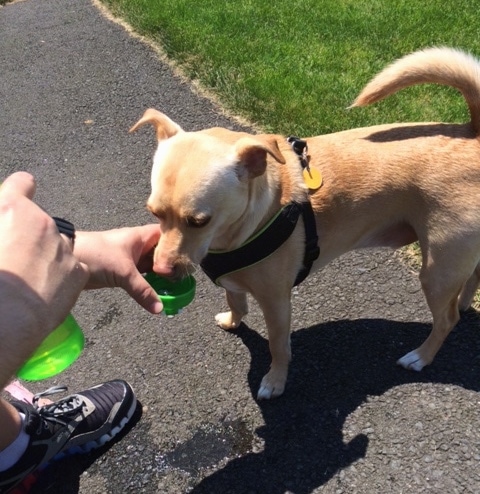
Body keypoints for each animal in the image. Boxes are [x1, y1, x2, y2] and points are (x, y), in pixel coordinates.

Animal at [131, 48, 480, 400]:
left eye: (199, 221)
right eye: (154, 213)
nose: (160, 269)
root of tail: (472, 133)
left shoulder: (276, 302)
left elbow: (278, 346)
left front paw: (275, 381)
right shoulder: (234, 282)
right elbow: (236, 302)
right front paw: (232, 320)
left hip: (438, 271)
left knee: (445, 319)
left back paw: (421, 356)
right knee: (472, 279)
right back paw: (465, 304)